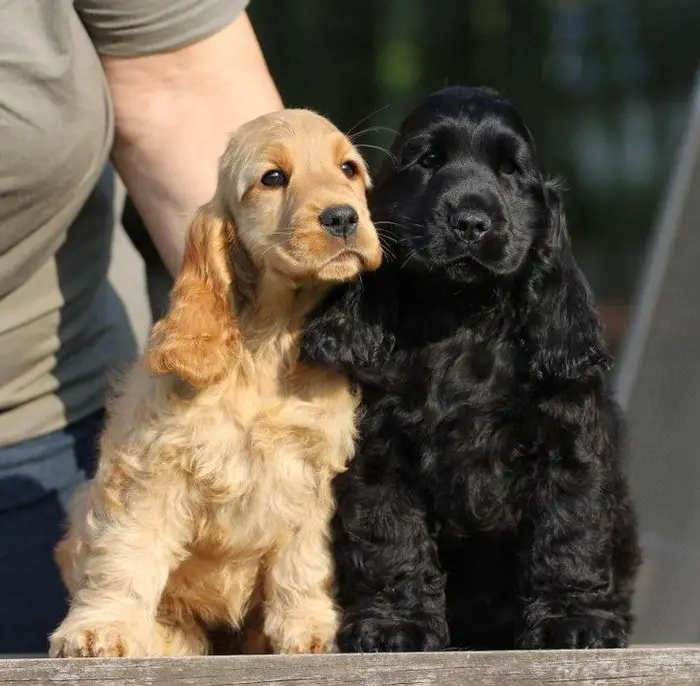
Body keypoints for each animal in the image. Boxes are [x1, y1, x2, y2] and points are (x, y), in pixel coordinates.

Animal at [50, 110, 382, 660]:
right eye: (273, 178)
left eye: (349, 169)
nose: (343, 218)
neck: (267, 346)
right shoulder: (150, 470)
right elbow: (126, 553)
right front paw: (101, 630)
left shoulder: (312, 472)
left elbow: (304, 562)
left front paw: (311, 629)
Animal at [300, 88, 640, 652]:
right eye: (428, 161)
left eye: (510, 171)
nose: (470, 223)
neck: (463, 315)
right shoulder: (378, 452)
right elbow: (390, 536)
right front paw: (396, 625)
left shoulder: (568, 444)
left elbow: (570, 530)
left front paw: (573, 620)